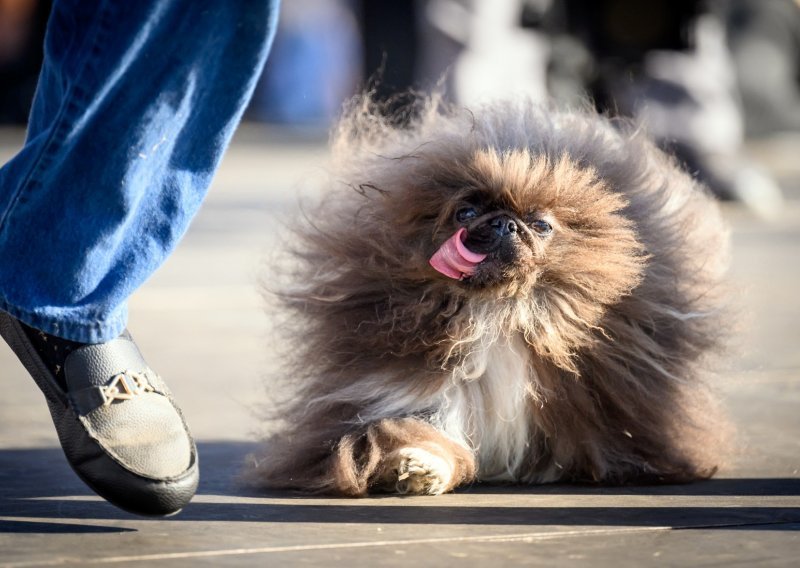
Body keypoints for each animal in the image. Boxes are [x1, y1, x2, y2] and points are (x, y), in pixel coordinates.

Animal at [245, 95, 732, 494]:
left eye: (541, 225)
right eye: (465, 212)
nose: (504, 223)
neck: (500, 313)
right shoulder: (415, 393)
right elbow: (425, 436)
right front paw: (417, 469)